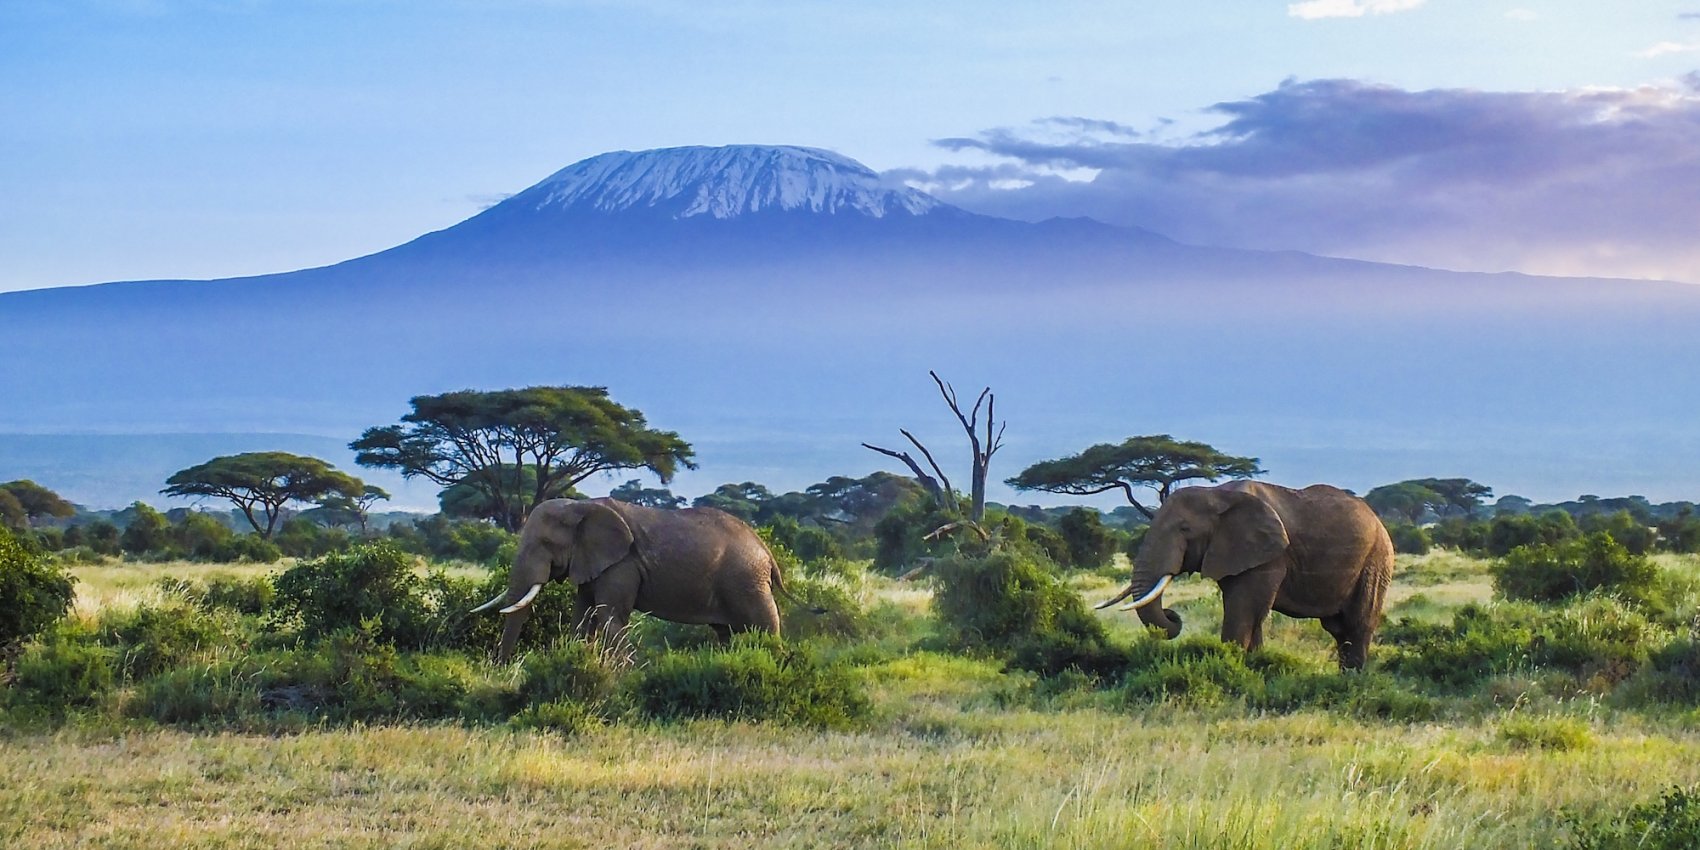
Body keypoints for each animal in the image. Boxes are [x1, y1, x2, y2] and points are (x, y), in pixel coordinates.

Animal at [470, 497, 787, 660]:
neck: (580, 506)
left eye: (545, 543)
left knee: (765, 626)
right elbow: (582, 616)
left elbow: (610, 617)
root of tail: (767, 551)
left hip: (747, 581)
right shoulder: (592, 562)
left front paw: (621, 672)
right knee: (726, 633)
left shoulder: (621, 565)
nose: (501, 667)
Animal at [1096, 480, 1394, 670]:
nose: (1173, 615)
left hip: (1376, 561)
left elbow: (1244, 611)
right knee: (1338, 628)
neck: (1216, 494)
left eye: (1184, 529)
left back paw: (1352, 680)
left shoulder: (1269, 555)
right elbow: (1251, 614)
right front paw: (1255, 667)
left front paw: (1233, 666)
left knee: (1358, 623)